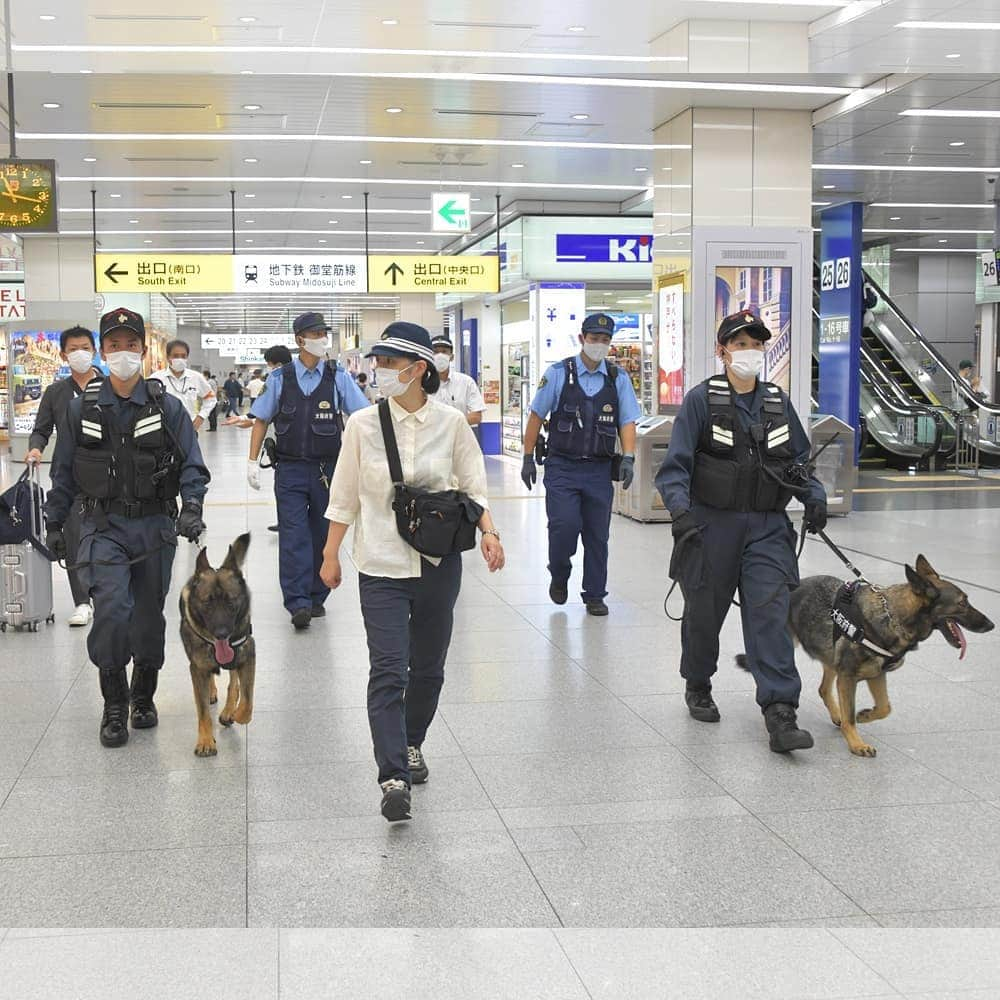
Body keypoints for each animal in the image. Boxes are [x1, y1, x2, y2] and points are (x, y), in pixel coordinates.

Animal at [182, 536, 256, 752]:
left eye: (231, 602)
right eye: (208, 603)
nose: (222, 634)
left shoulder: (247, 656)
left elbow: (247, 700)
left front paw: (236, 714)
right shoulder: (197, 668)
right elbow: (203, 711)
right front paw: (206, 740)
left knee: (233, 682)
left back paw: (229, 710)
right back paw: (212, 692)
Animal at [788, 556, 992, 756]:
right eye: (962, 603)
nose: (992, 625)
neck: (893, 617)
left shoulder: (877, 675)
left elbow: (885, 707)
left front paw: (866, 715)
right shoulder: (847, 678)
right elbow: (851, 717)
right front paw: (856, 744)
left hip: (831, 659)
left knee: (823, 689)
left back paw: (837, 715)